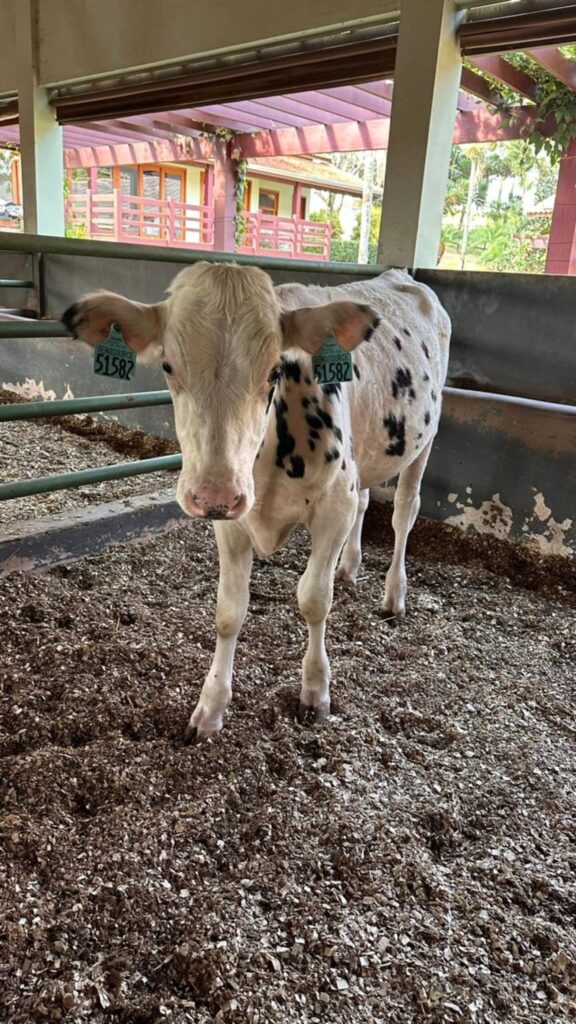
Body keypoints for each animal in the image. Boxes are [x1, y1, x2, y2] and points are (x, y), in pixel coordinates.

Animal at [62, 264, 448, 741]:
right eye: (168, 366)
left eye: (274, 371)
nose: (213, 492)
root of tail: (400, 273)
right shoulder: (231, 520)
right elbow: (230, 610)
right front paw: (211, 708)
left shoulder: (332, 507)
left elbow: (314, 599)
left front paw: (315, 692)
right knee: (365, 502)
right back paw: (350, 567)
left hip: (424, 442)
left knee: (403, 512)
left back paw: (394, 595)